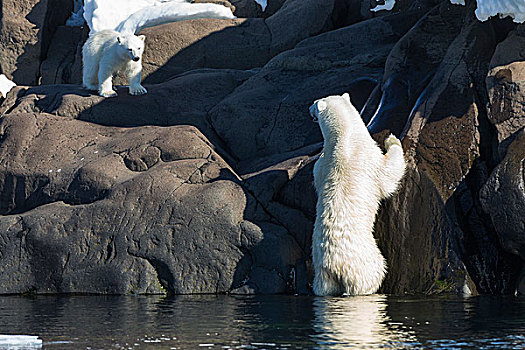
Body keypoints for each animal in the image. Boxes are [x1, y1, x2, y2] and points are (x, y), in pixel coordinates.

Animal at [81, 1, 233, 97]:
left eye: (139, 47)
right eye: (129, 49)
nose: (136, 57)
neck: (123, 56)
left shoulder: (131, 61)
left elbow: (134, 71)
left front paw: (138, 90)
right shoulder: (111, 55)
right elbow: (105, 70)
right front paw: (109, 92)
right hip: (92, 50)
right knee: (91, 68)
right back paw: (93, 85)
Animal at [312, 93, 406, 296]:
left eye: (314, 104)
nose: (309, 109)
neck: (345, 137)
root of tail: (335, 267)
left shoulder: (321, 165)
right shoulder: (370, 158)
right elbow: (389, 174)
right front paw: (392, 139)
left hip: (322, 275)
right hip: (363, 262)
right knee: (374, 273)